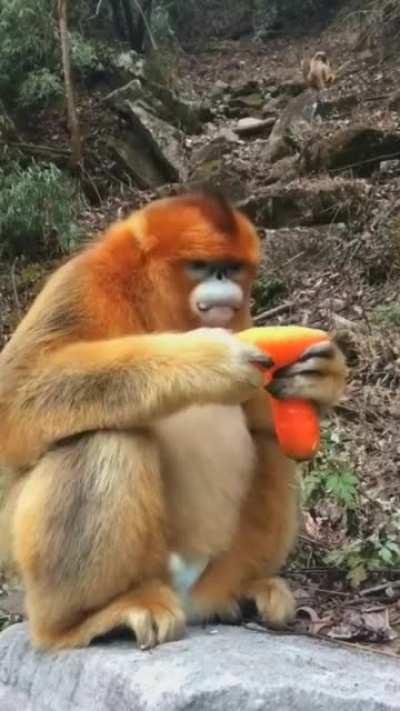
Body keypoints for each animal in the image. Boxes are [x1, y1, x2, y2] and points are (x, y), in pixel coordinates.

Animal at [0, 191, 347, 650]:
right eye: (201, 264)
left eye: (233, 266)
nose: (222, 279)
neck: (154, 303)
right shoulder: (80, 284)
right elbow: (15, 401)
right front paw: (208, 360)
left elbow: (264, 415)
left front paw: (319, 379)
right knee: (104, 439)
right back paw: (81, 621)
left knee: (270, 448)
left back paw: (237, 592)